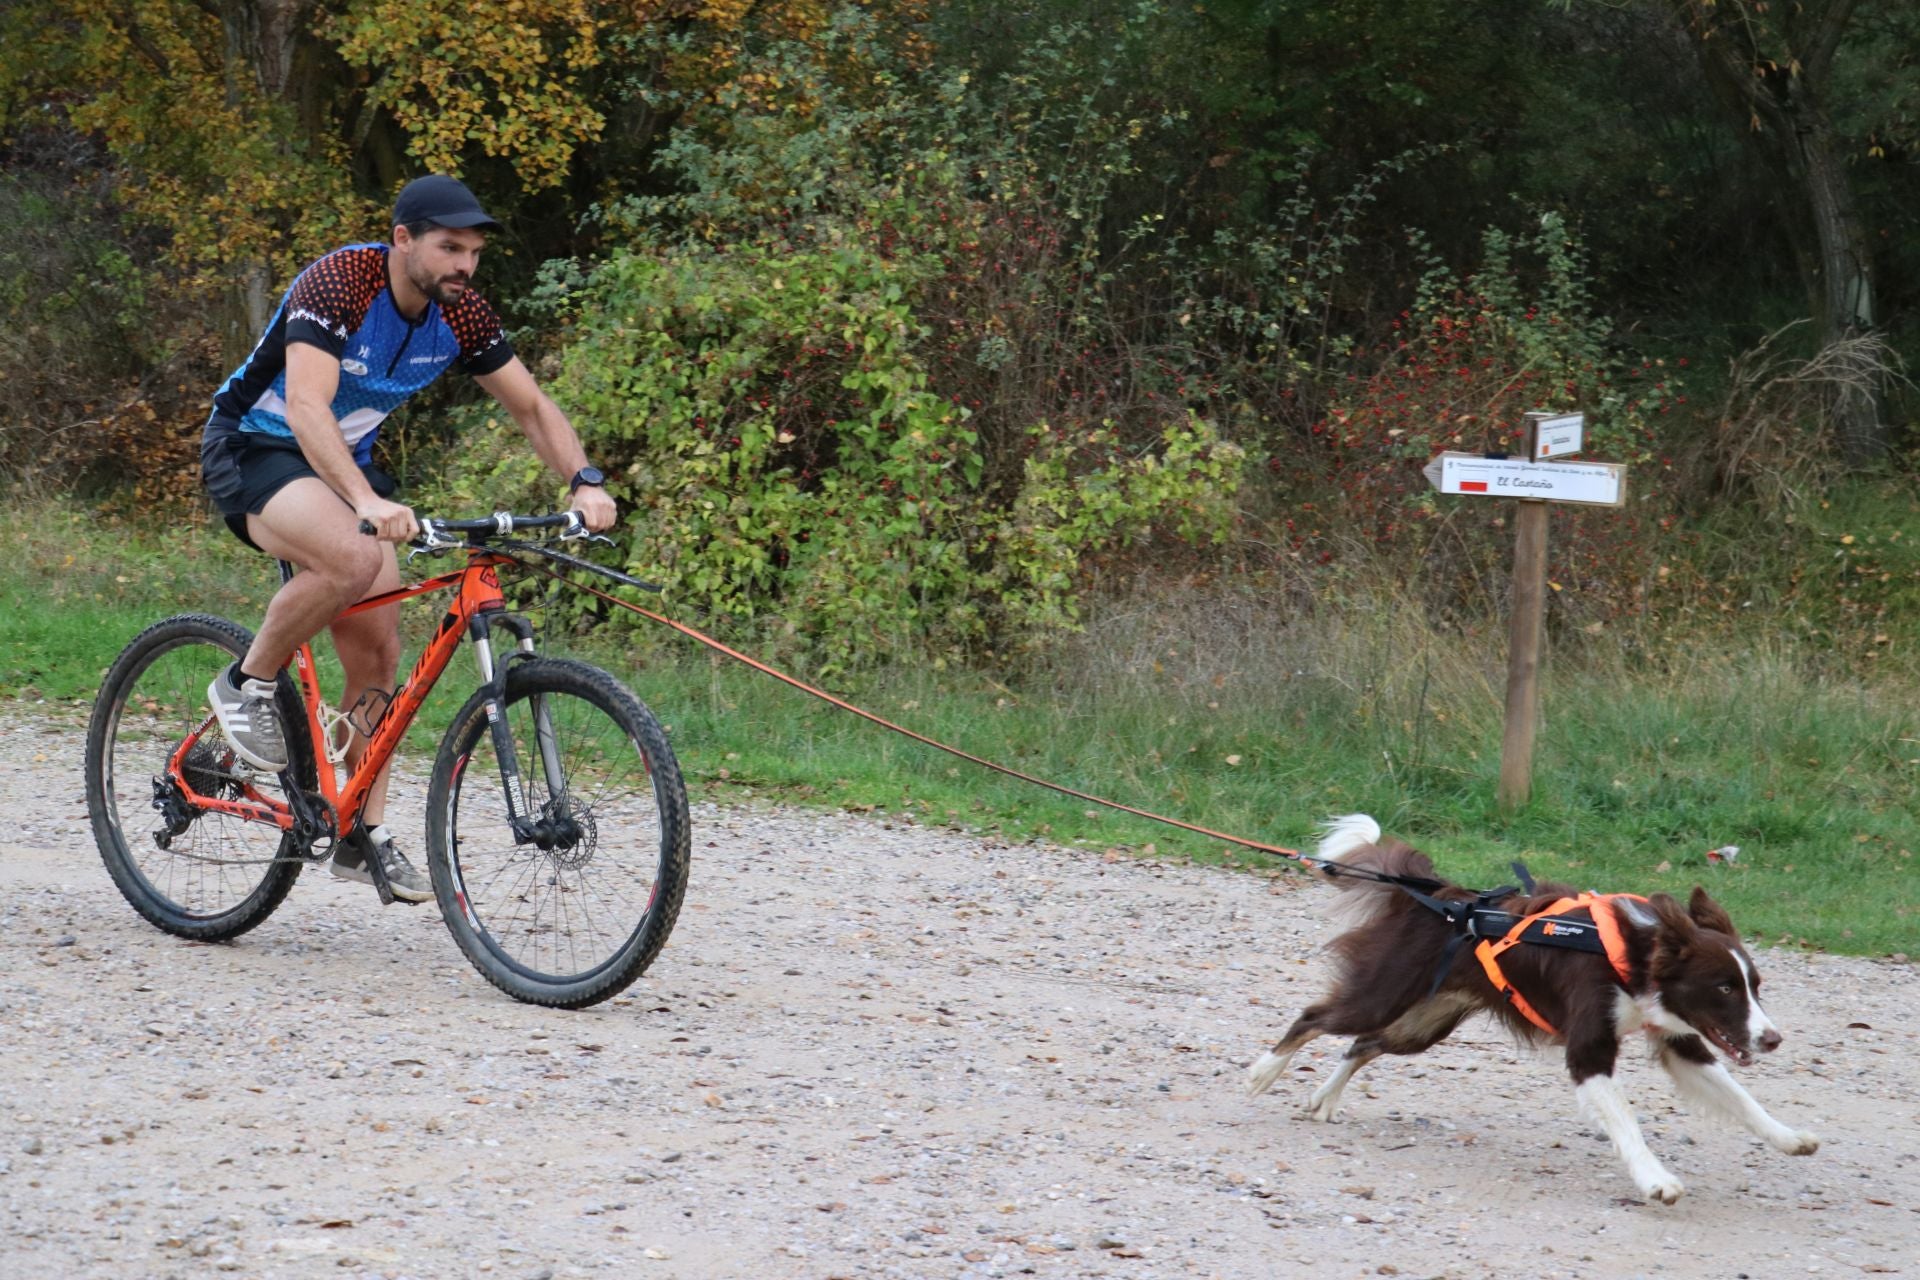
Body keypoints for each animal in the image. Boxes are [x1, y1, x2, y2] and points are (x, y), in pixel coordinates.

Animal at [1244, 817, 1812, 1205]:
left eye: (1755, 987)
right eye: (1723, 988)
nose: (1772, 1038)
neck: (1631, 956)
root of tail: (1445, 900)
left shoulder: (1679, 1040)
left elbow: (1740, 1098)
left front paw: (1789, 1138)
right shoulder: (1589, 1049)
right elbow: (1626, 1121)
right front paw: (1656, 1180)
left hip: (1426, 1022)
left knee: (1363, 1043)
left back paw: (1323, 1098)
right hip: (1385, 994)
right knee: (1315, 1018)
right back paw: (1263, 1072)